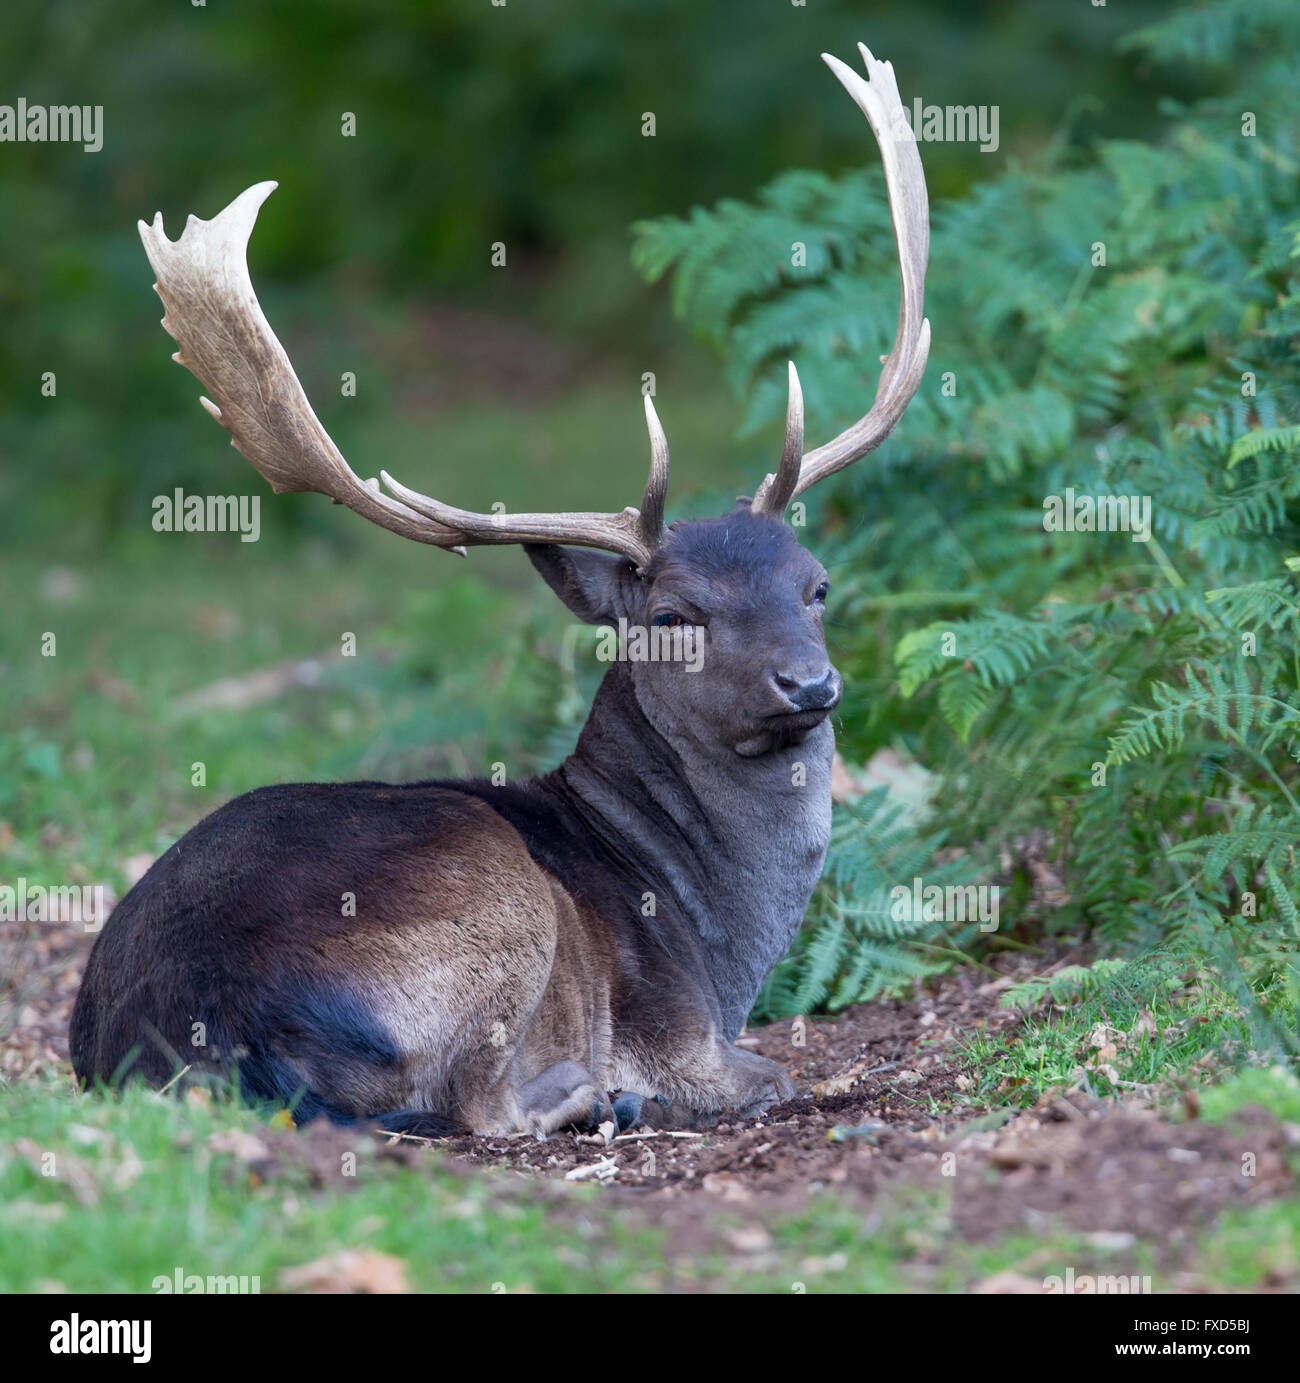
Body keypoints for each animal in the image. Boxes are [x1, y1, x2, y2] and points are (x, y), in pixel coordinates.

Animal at [71, 45, 929, 1145]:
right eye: (673, 616)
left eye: (815, 585)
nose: (808, 684)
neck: (714, 936)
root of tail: (215, 1029)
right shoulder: (683, 1033)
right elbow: (770, 1072)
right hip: (494, 894)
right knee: (480, 1108)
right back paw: (597, 1095)